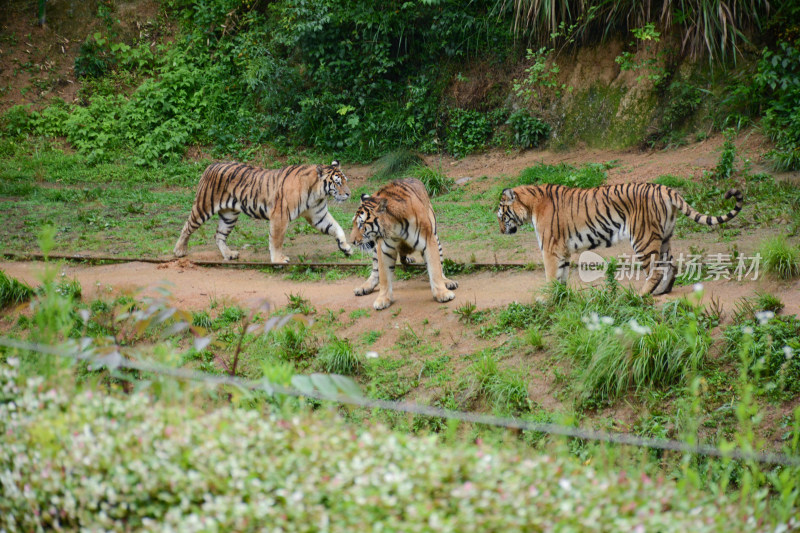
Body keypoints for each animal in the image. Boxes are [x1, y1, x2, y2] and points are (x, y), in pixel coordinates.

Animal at [175, 161, 354, 262]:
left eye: (345, 180)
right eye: (337, 183)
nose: (349, 194)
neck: (317, 193)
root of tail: (211, 165)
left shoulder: (318, 215)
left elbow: (337, 228)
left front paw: (346, 248)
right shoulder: (280, 216)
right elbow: (276, 240)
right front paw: (278, 259)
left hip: (229, 215)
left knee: (219, 235)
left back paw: (229, 255)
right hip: (203, 207)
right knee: (187, 226)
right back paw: (179, 251)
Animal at [348, 178, 456, 310]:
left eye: (361, 224)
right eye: (354, 223)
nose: (352, 241)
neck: (394, 226)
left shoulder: (429, 241)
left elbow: (435, 269)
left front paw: (443, 293)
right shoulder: (384, 249)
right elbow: (384, 276)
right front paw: (383, 299)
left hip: (436, 237)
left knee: (440, 266)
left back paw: (447, 281)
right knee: (375, 271)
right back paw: (363, 287)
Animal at [494, 182, 744, 294]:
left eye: (501, 215)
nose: (501, 231)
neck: (530, 206)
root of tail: (664, 188)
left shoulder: (549, 248)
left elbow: (550, 276)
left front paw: (547, 299)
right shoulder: (561, 250)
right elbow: (561, 276)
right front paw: (560, 298)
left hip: (643, 238)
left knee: (656, 270)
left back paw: (641, 295)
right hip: (664, 237)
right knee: (671, 266)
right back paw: (660, 292)